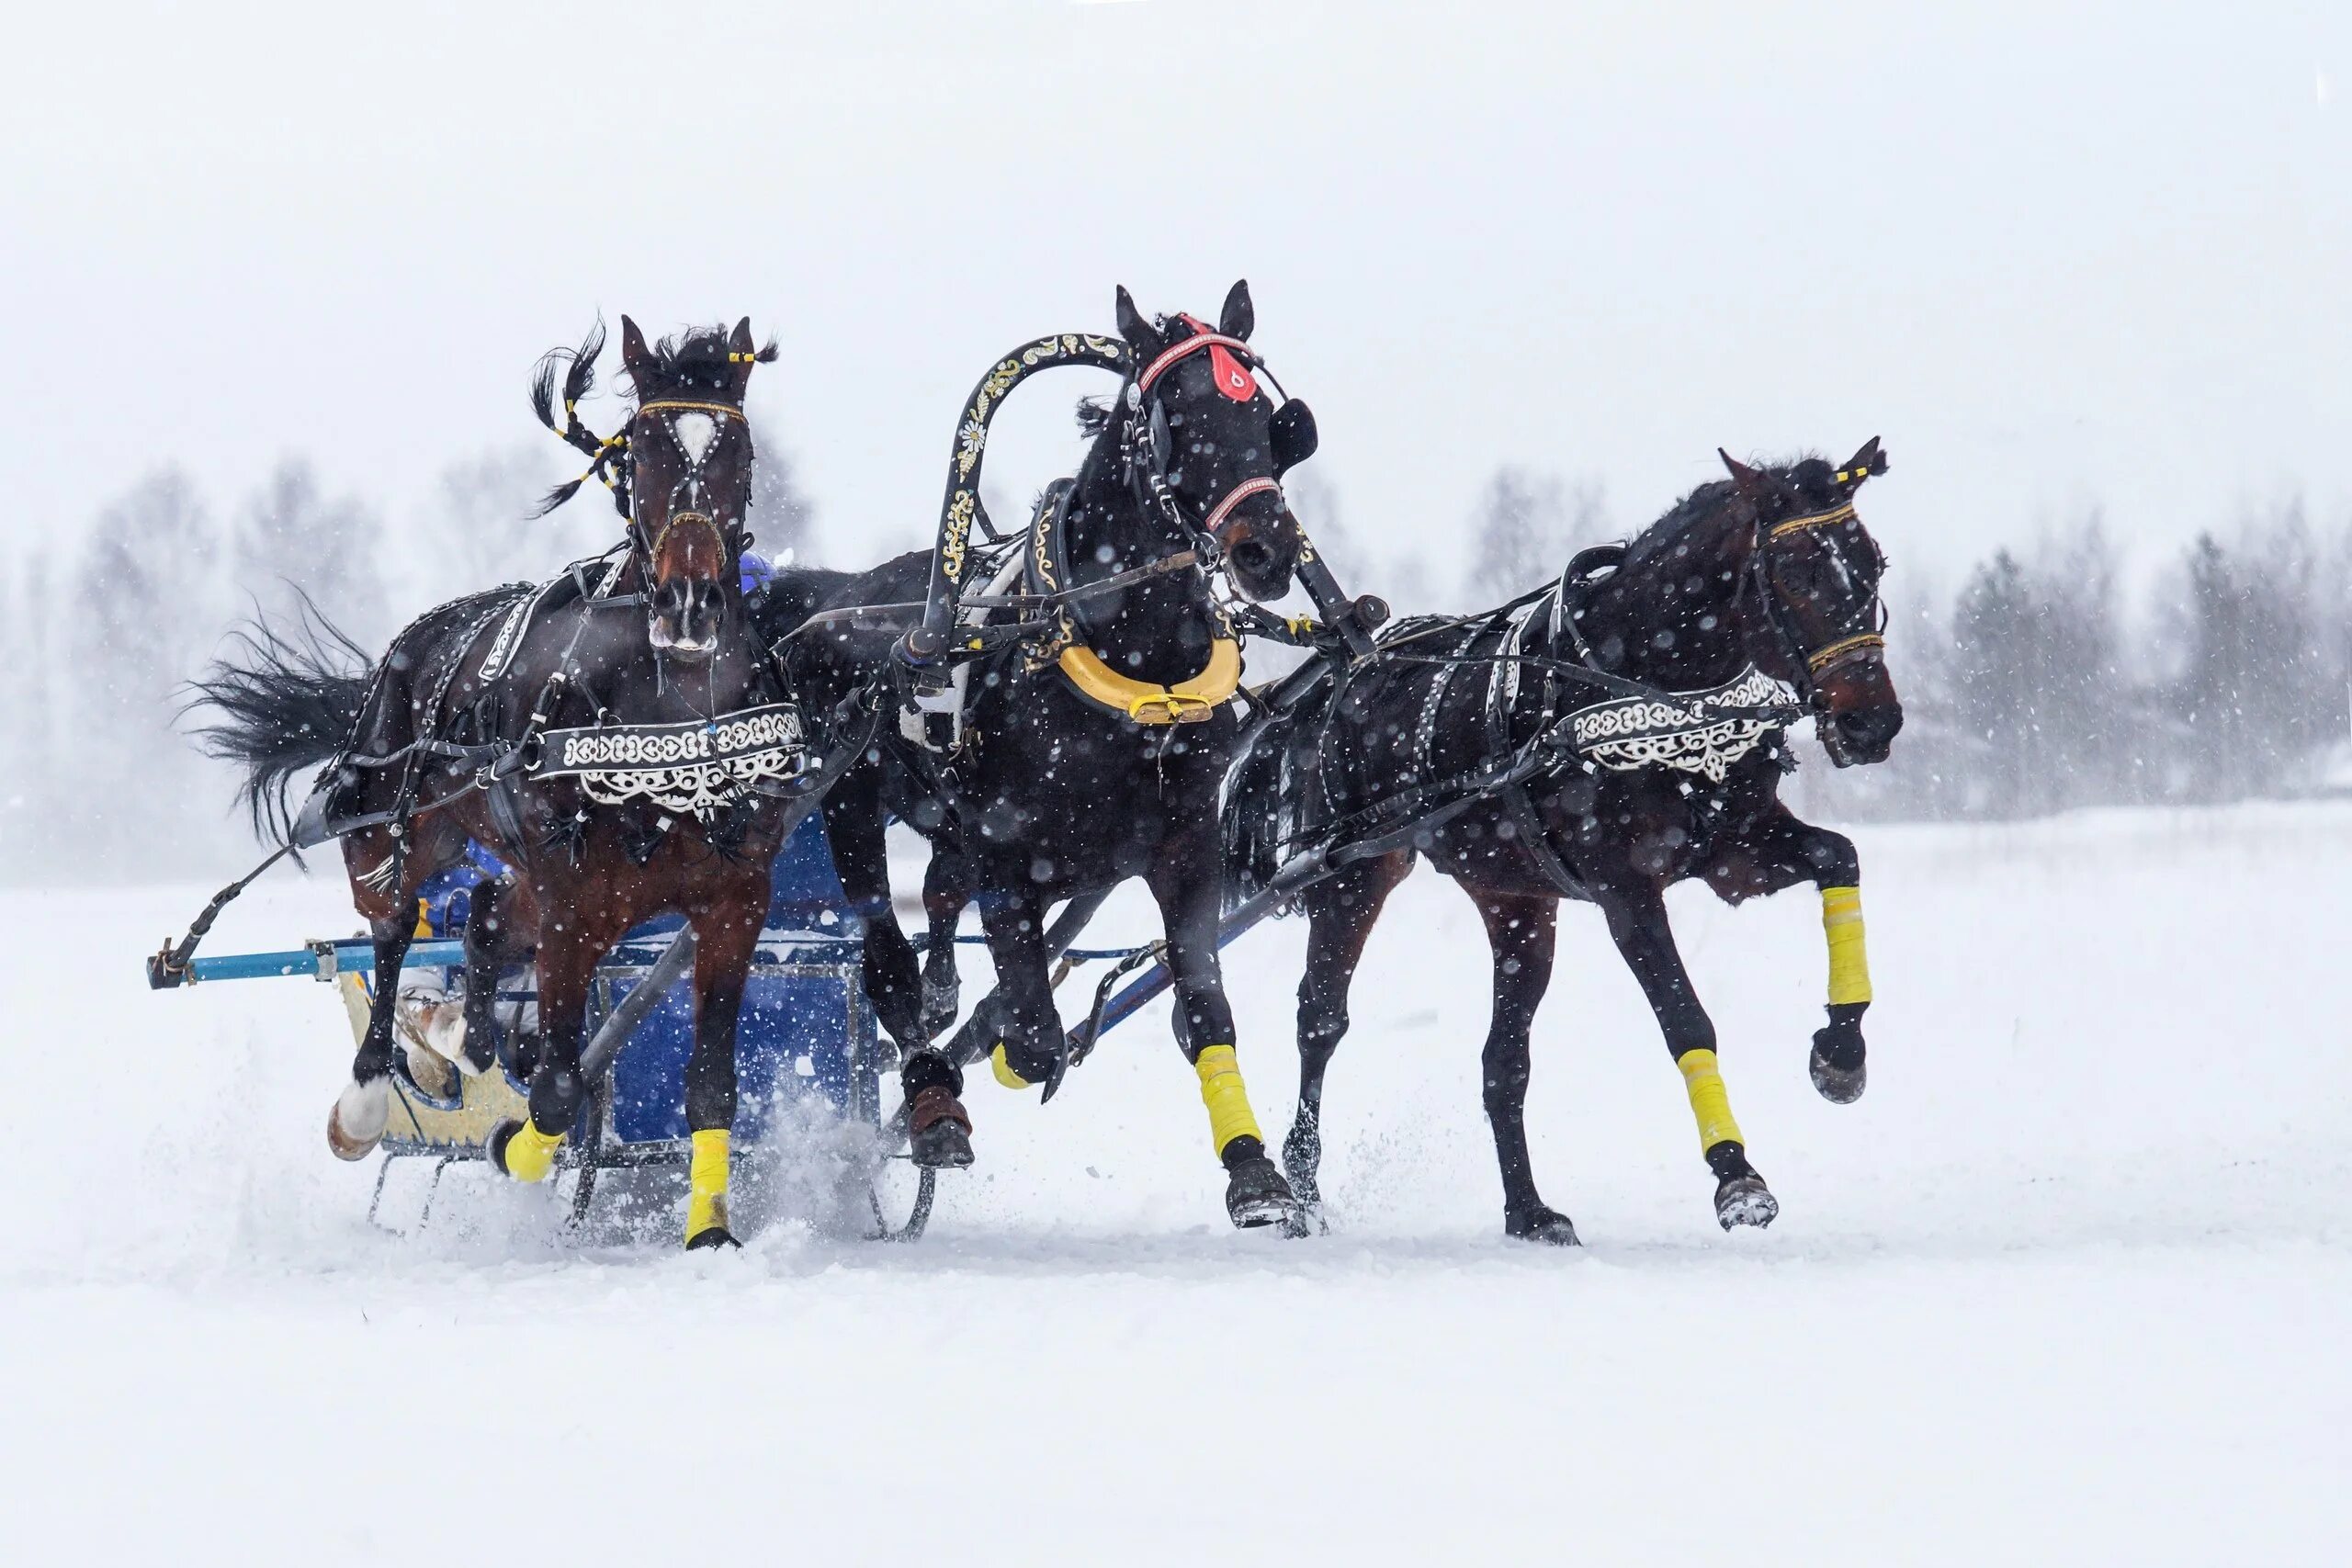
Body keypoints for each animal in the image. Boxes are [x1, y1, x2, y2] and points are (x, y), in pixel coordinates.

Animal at [762, 285, 1326, 1241]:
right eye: (1177, 418)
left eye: (1270, 418)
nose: (1268, 548)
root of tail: (833, 597)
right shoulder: (1006, 854)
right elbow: (1028, 1026)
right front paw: (1017, 1055)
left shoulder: (1185, 850)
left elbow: (1202, 1004)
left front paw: (1254, 1172)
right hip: (848, 809)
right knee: (887, 964)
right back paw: (933, 1100)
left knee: (937, 911)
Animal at [1232, 442, 1909, 1241]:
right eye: (1797, 572)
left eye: (1873, 564)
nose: (1872, 723)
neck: (1634, 680)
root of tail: (1348, 672)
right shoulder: (1627, 890)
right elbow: (1685, 1018)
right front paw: (1737, 1176)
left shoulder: (1733, 851)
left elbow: (1840, 857)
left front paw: (1841, 1051)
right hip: (1355, 875)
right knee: (1320, 1019)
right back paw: (1298, 1186)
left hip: (1515, 902)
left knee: (1503, 1060)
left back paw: (1527, 1208)